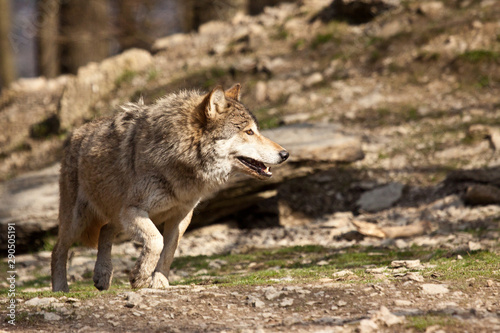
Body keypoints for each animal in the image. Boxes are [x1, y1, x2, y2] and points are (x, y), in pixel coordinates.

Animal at [50, 83, 290, 290]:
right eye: (249, 132)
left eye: (256, 130)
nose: (285, 154)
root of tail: (75, 134)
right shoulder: (133, 210)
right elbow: (156, 242)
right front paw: (140, 276)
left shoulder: (181, 217)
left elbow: (168, 251)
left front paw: (159, 282)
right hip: (78, 221)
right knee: (57, 250)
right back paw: (61, 288)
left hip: (116, 219)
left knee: (105, 230)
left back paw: (102, 275)